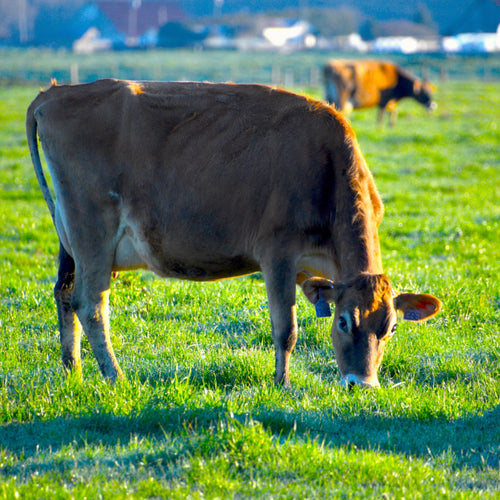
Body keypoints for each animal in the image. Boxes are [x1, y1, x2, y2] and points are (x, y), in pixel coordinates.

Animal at [27, 79, 442, 390]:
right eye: (343, 322)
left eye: (390, 328)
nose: (362, 384)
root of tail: (55, 93)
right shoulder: (277, 253)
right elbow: (286, 328)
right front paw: (282, 385)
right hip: (92, 235)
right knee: (91, 305)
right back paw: (116, 377)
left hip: (70, 240)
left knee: (65, 295)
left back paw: (74, 373)